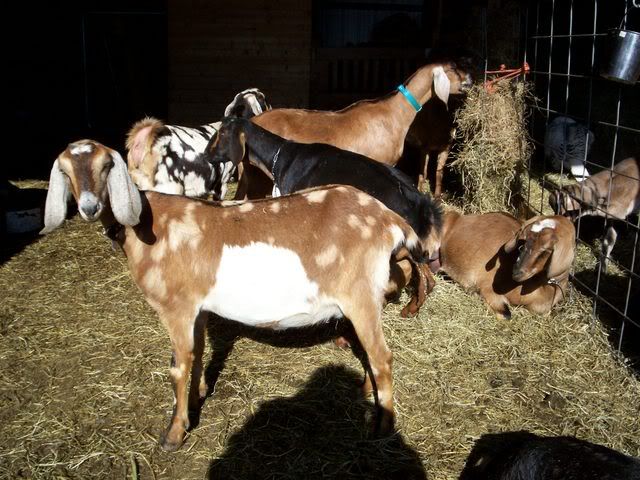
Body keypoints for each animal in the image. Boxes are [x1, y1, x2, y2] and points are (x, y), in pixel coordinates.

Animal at [41, 139, 427, 451]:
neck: (148, 227)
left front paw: (173, 434)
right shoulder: (197, 308)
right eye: (65, 169)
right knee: (373, 350)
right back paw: (366, 393)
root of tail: (391, 220)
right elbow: (197, 355)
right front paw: (197, 397)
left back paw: (383, 427)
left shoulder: (177, 308)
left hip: (360, 297)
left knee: (382, 357)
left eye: (106, 165)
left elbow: (178, 366)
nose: (89, 207)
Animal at [204, 117, 443, 312]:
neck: (280, 157)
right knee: (428, 279)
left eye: (220, 134)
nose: (205, 155)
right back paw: (409, 309)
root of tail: (417, 200)